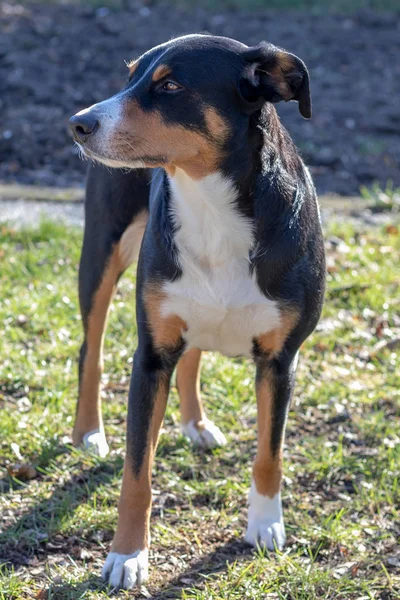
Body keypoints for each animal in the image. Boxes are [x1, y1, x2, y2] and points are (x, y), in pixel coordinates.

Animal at [69, 34, 324, 592]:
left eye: (170, 86)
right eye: (130, 77)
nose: (79, 122)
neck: (208, 205)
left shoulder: (281, 361)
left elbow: (270, 453)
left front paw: (265, 525)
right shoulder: (149, 358)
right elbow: (136, 474)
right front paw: (127, 556)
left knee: (192, 356)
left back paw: (194, 423)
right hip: (101, 251)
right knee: (90, 351)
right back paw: (88, 433)